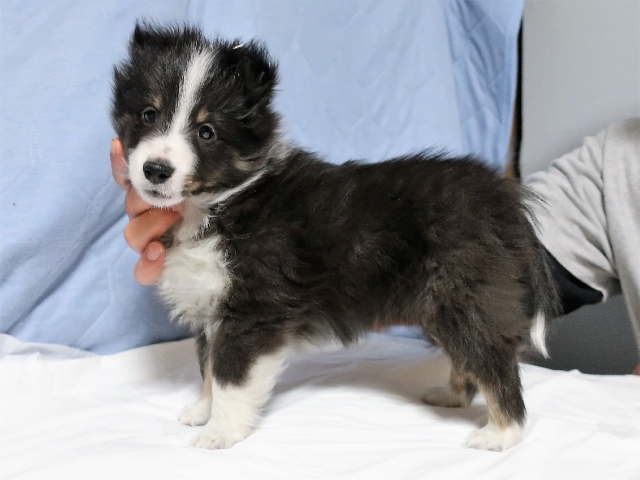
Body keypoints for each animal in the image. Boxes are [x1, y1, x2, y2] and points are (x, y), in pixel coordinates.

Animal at [111, 23, 559, 451]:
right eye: (149, 114)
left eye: (207, 132)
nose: (155, 170)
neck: (222, 202)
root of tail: (507, 202)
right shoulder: (210, 305)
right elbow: (208, 365)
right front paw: (202, 410)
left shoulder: (253, 309)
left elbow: (229, 376)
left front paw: (219, 432)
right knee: (469, 358)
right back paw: (451, 397)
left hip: (465, 295)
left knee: (494, 364)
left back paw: (500, 434)